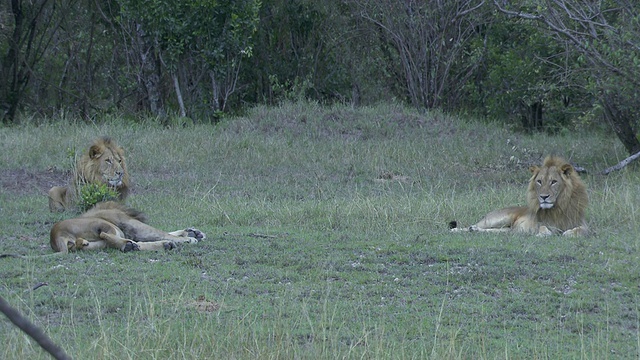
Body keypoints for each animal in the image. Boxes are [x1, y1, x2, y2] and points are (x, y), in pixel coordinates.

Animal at [50, 201, 205, 255]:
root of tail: (56, 235)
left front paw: (192, 232)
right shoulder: (132, 225)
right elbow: (161, 232)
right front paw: (189, 238)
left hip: (99, 244)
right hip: (110, 227)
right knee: (106, 235)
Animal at [448, 155, 588, 236]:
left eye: (553, 182)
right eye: (539, 181)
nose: (543, 197)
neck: (559, 207)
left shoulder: (584, 225)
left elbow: (581, 230)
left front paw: (568, 233)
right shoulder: (539, 224)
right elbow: (544, 229)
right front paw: (542, 234)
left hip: (506, 228)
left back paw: (474, 230)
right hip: (497, 219)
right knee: (474, 225)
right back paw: (458, 230)